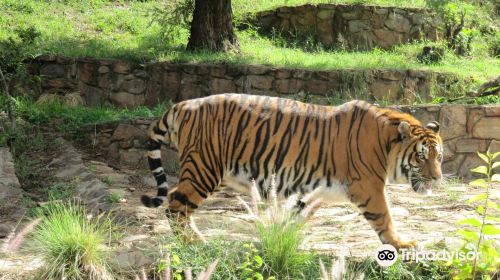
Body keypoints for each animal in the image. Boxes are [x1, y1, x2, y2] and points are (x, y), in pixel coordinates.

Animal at [141, 93, 442, 249]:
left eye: (439, 157)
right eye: (421, 157)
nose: (438, 179)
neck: (386, 144)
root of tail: (183, 104)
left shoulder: (311, 190)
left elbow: (297, 217)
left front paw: (286, 240)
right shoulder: (369, 186)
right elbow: (385, 217)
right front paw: (402, 243)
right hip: (204, 168)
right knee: (175, 203)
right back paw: (195, 242)